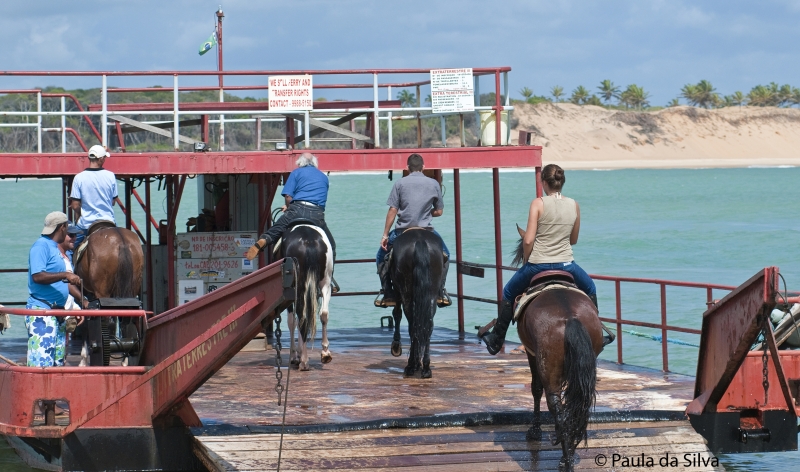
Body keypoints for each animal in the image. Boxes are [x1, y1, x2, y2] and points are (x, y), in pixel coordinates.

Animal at [280, 223, 332, 370]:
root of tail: (309, 240)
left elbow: (292, 321)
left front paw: (294, 355)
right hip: (325, 283)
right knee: (323, 313)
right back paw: (325, 353)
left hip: (298, 286)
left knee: (301, 315)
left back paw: (303, 360)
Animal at [388, 230, 444, 380]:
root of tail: (420, 240)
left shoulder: (398, 291)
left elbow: (397, 314)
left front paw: (396, 346)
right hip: (431, 293)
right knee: (427, 325)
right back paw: (426, 367)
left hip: (406, 292)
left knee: (413, 325)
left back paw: (411, 365)